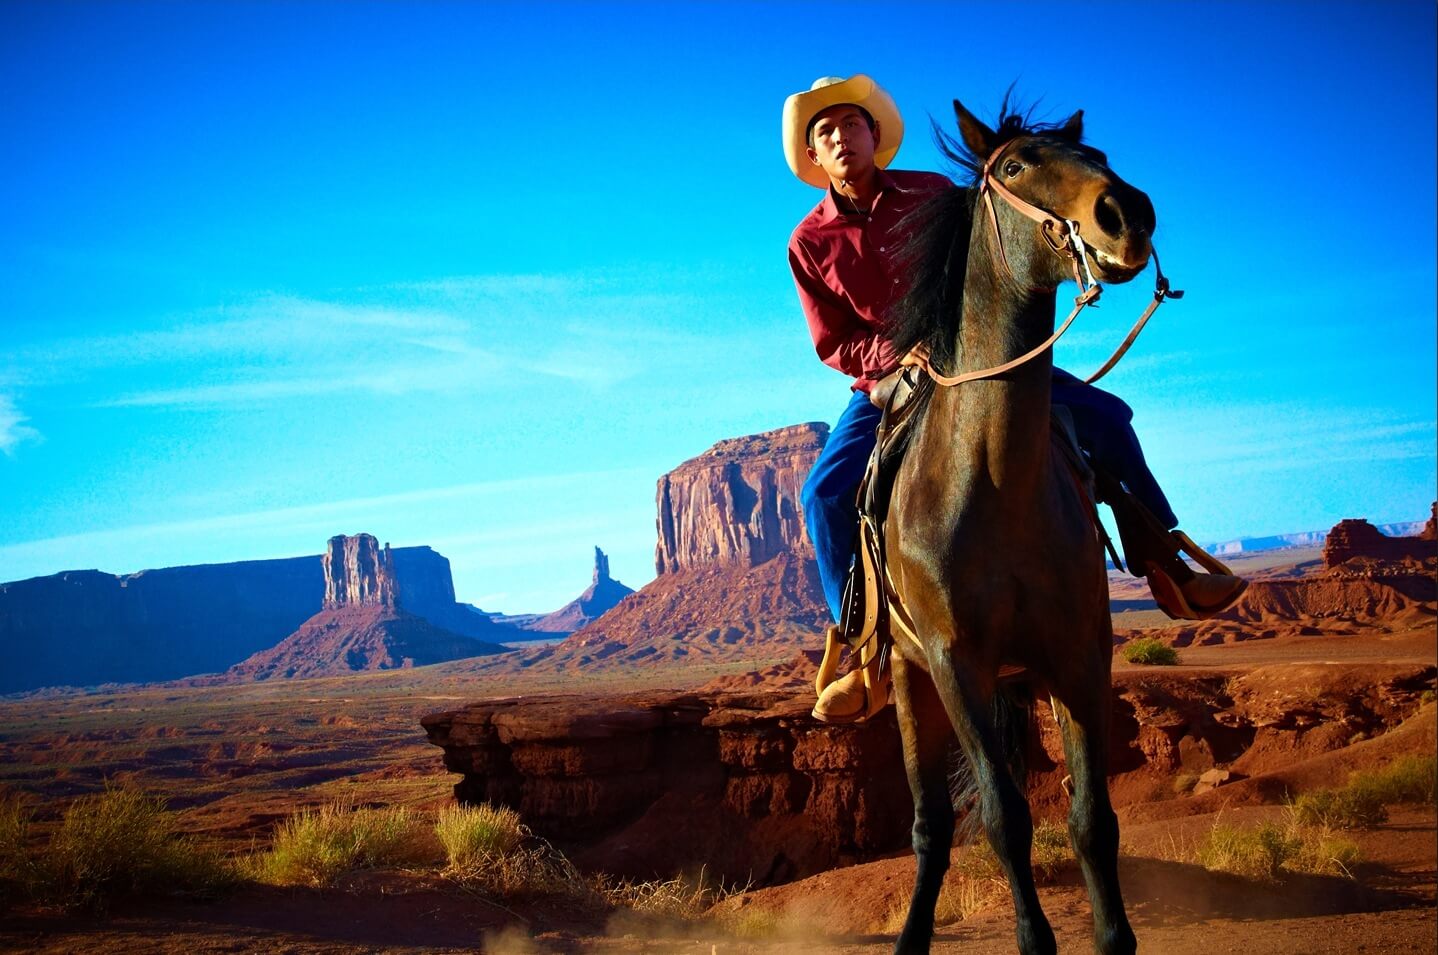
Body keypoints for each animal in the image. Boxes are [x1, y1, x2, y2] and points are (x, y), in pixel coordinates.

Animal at [874, 98, 1156, 955]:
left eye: (1100, 154)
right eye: (1012, 167)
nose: (1127, 213)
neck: (994, 483)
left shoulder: (1079, 651)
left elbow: (1092, 818)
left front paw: (1114, 937)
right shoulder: (955, 662)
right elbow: (1003, 817)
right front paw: (1036, 939)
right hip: (910, 680)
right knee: (930, 826)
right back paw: (910, 937)